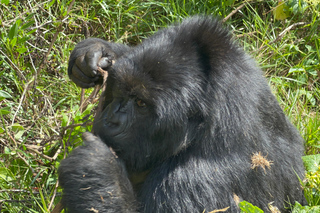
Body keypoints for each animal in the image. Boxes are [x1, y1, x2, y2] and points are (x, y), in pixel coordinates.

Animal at [58, 17, 306, 213]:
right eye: (120, 90)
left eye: (141, 103)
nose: (111, 120)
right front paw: (96, 52)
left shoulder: (195, 181)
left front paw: (96, 167)